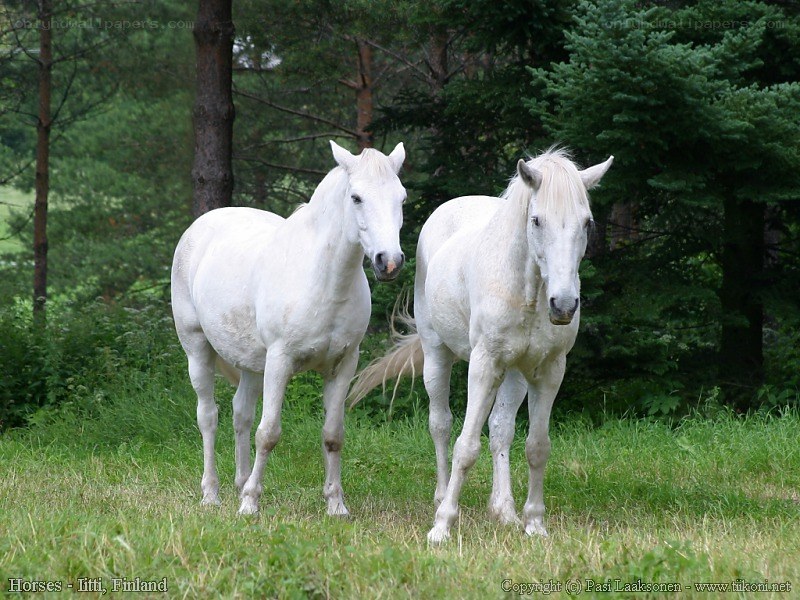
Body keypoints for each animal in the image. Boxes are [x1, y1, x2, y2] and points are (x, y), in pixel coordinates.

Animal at [171, 141, 407, 516]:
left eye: (401, 198)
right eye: (356, 197)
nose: (390, 262)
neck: (322, 279)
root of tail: (199, 227)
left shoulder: (344, 365)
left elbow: (333, 435)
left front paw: (336, 505)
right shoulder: (280, 361)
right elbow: (268, 433)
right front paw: (250, 504)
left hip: (252, 364)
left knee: (240, 414)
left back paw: (239, 483)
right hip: (197, 349)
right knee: (208, 416)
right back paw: (212, 494)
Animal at [349, 148, 612, 543]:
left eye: (587, 223)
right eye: (537, 220)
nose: (563, 305)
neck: (527, 290)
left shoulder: (549, 371)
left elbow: (536, 446)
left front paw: (534, 523)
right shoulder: (484, 365)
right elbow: (465, 445)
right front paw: (442, 525)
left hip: (514, 374)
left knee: (501, 431)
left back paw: (504, 511)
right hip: (436, 356)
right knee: (440, 424)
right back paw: (441, 496)